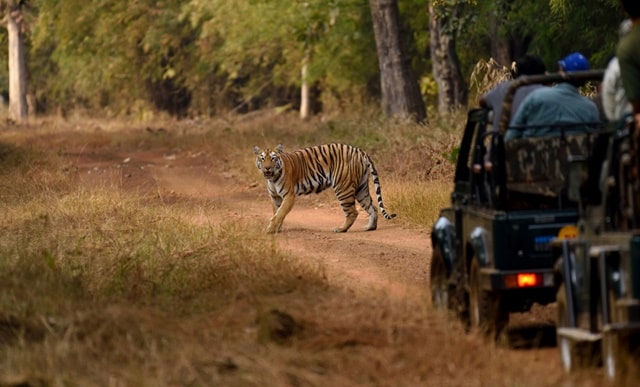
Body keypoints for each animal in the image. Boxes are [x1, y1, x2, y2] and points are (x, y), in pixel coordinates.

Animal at [251, 142, 396, 233]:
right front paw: (277, 229)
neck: (272, 179)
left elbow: (279, 213)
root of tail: (360, 151)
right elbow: (277, 212)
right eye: (262, 159)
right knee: (373, 207)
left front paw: (270, 230)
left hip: (343, 188)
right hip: (362, 188)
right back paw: (370, 228)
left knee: (353, 212)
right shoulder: (275, 197)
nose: (267, 168)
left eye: (273, 158)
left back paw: (340, 229)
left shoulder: (289, 196)